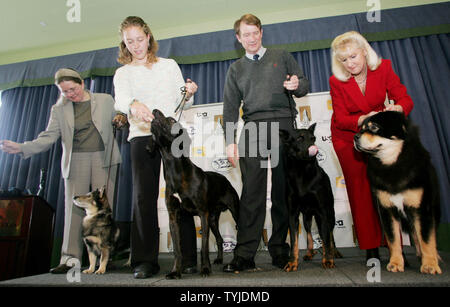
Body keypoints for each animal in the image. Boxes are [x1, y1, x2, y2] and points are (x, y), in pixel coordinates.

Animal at [149, 109, 241, 280]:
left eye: (172, 120)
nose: (154, 111)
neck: (175, 171)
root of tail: (225, 179)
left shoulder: (202, 214)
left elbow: (204, 246)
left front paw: (205, 269)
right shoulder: (174, 217)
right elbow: (177, 250)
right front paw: (175, 271)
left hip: (233, 211)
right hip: (213, 219)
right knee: (219, 239)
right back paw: (219, 259)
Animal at [280, 122, 340, 272]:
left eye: (313, 138)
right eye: (299, 138)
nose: (314, 149)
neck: (301, 171)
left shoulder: (322, 212)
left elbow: (326, 238)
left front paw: (328, 260)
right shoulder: (293, 214)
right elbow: (294, 241)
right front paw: (292, 262)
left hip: (329, 213)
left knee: (329, 234)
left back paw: (333, 252)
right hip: (307, 216)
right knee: (309, 233)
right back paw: (309, 252)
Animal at [354, 112, 442, 276]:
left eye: (374, 127)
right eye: (362, 128)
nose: (355, 137)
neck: (392, 165)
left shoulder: (422, 208)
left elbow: (426, 238)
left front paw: (429, 265)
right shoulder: (387, 209)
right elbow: (393, 239)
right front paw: (395, 263)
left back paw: (433, 256)